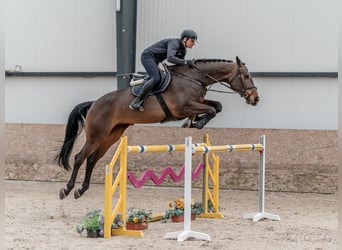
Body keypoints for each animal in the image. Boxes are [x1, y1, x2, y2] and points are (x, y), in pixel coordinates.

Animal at [55, 56, 260, 199]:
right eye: (246, 76)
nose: (255, 99)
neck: (195, 78)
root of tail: (94, 103)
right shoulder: (184, 107)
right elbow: (211, 109)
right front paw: (196, 122)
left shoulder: (197, 102)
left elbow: (217, 106)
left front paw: (195, 122)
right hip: (96, 135)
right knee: (80, 157)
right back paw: (67, 189)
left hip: (113, 134)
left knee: (92, 160)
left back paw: (82, 190)